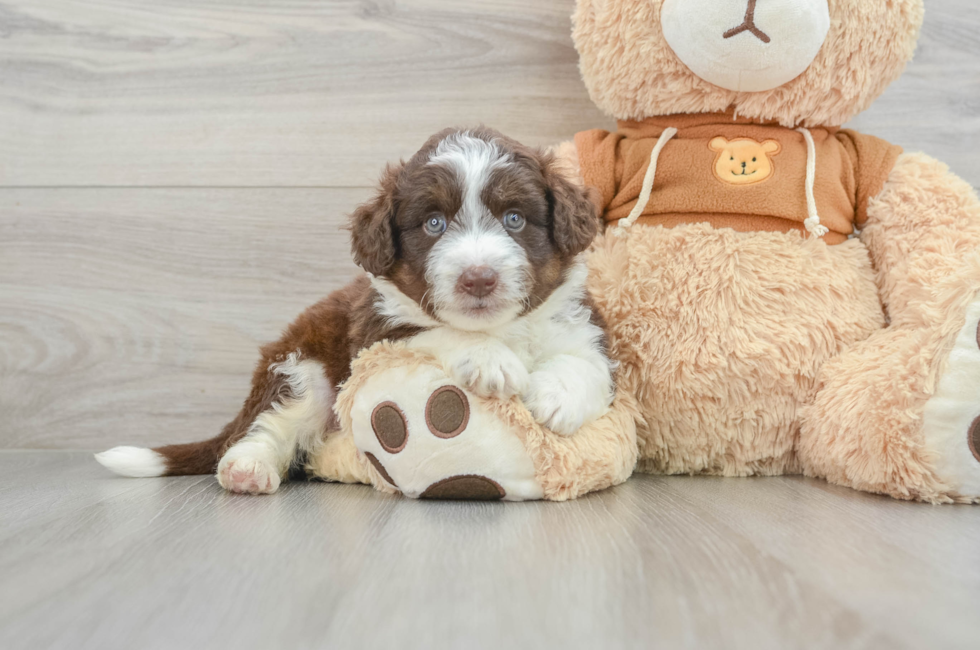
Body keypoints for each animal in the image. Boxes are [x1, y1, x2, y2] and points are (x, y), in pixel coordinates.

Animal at [92, 126, 612, 492]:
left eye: (514, 218)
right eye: (434, 224)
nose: (478, 278)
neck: (503, 327)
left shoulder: (584, 325)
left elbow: (587, 363)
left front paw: (557, 397)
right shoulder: (374, 328)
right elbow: (434, 331)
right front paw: (490, 360)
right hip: (302, 366)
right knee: (271, 422)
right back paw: (248, 468)